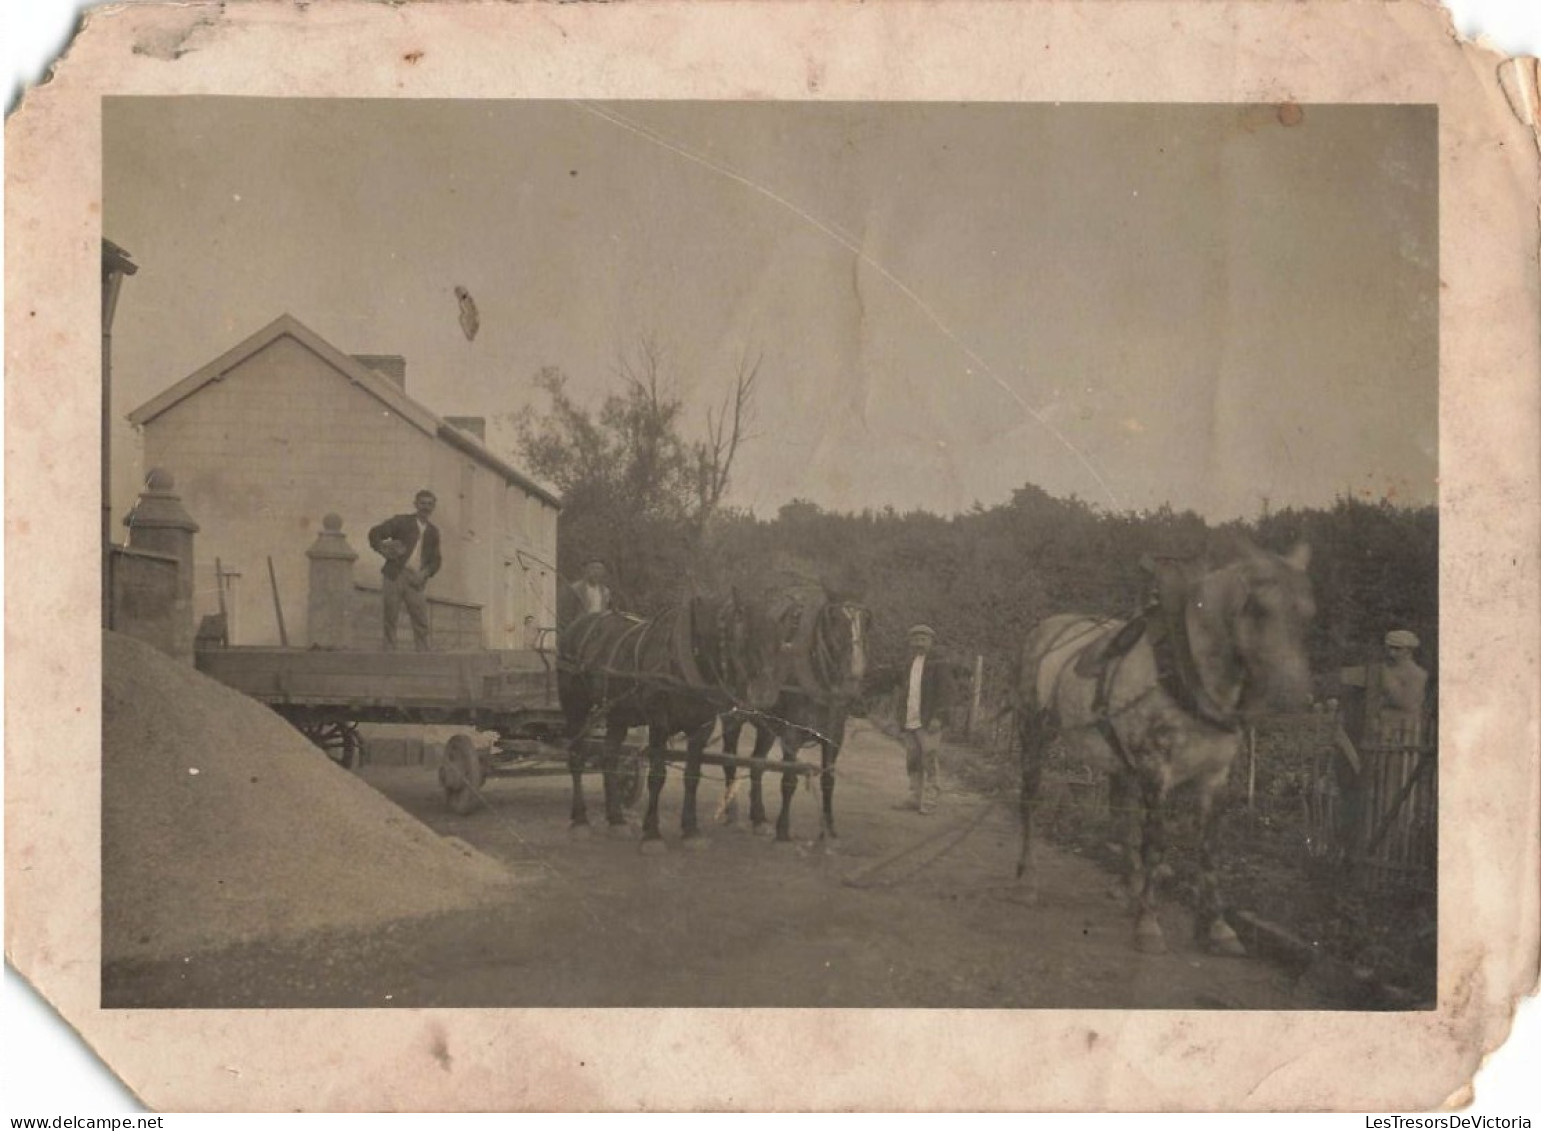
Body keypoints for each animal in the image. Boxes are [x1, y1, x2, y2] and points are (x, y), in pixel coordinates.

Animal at [560, 594, 788, 850]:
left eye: (778, 642)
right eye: (743, 639)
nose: (766, 694)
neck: (688, 658)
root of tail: (575, 626)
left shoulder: (702, 726)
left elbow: (692, 776)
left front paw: (691, 830)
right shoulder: (659, 723)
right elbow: (657, 776)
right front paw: (652, 834)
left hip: (618, 714)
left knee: (610, 757)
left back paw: (616, 820)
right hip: (576, 708)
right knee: (576, 756)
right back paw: (580, 820)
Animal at [715, 597, 875, 844]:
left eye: (866, 622)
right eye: (836, 622)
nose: (854, 677)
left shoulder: (834, 737)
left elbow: (828, 780)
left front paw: (829, 828)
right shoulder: (792, 736)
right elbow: (789, 780)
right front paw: (783, 829)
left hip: (767, 728)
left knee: (757, 763)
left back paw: (758, 817)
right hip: (732, 718)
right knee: (729, 760)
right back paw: (731, 812)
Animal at [1010, 542, 1312, 955]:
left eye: (1307, 612)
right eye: (1259, 608)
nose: (1295, 697)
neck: (1189, 675)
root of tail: (1047, 627)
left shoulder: (1215, 777)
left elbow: (1209, 846)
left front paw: (1217, 925)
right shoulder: (1155, 770)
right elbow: (1156, 843)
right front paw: (1148, 923)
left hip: (1117, 759)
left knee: (1121, 816)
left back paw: (1128, 886)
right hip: (1035, 736)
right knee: (1031, 800)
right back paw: (1028, 880)